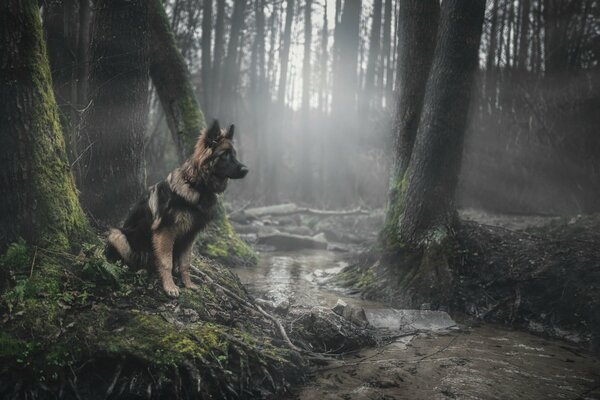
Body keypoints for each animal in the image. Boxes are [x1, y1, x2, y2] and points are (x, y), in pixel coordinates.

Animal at [106, 120, 247, 296]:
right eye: (224, 155)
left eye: (234, 154)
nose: (246, 170)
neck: (196, 185)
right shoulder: (165, 232)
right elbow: (166, 262)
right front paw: (170, 287)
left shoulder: (189, 236)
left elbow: (185, 263)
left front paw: (188, 284)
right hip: (118, 235)